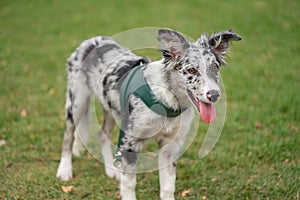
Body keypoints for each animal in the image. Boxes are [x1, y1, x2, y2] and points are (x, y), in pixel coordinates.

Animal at [56, 28, 241, 200]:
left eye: (215, 67)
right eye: (191, 70)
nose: (214, 95)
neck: (166, 100)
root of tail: (90, 42)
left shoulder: (169, 146)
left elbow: (168, 186)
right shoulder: (130, 142)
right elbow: (129, 184)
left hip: (111, 108)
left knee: (102, 135)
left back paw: (110, 169)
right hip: (77, 102)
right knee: (68, 136)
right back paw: (64, 170)